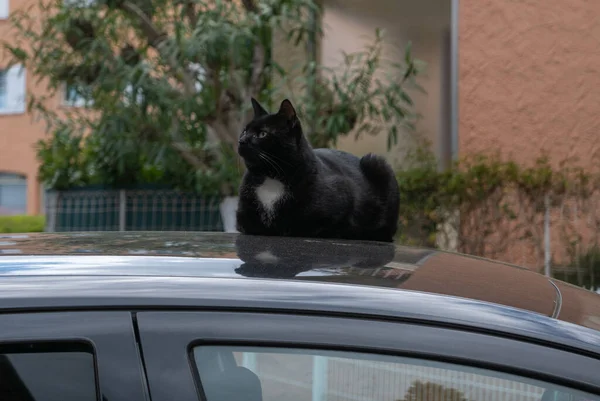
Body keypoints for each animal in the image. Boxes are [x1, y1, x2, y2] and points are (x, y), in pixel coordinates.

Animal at [234, 97, 398, 241]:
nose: (241, 140)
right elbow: (248, 224)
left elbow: (304, 225)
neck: (271, 177)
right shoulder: (242, 216)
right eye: (244, 131)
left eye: (262, 134)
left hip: (378, 163)